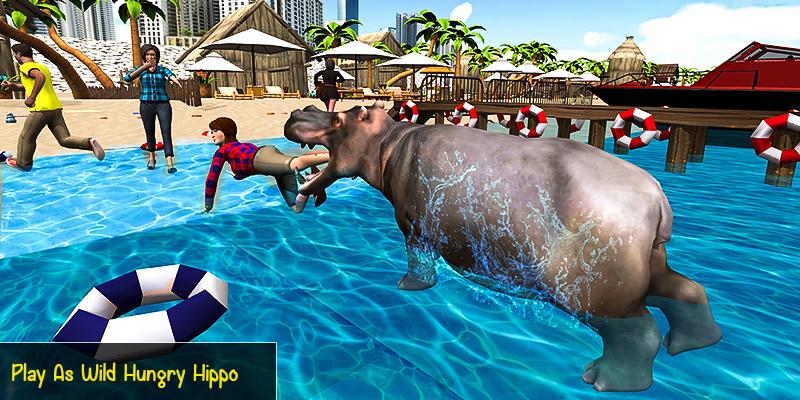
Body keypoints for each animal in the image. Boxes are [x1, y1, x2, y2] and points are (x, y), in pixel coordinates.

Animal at [283, 102, 722, 392]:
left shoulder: (413, 226)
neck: (388, 142)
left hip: (594, 288)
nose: (299, 108)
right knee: (687, 291)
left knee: (639, 332)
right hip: (647, 265)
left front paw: (407, 288)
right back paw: (693, 344)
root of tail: (657, 196)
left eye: (340, 117)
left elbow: (416, 261)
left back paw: (600, 380)